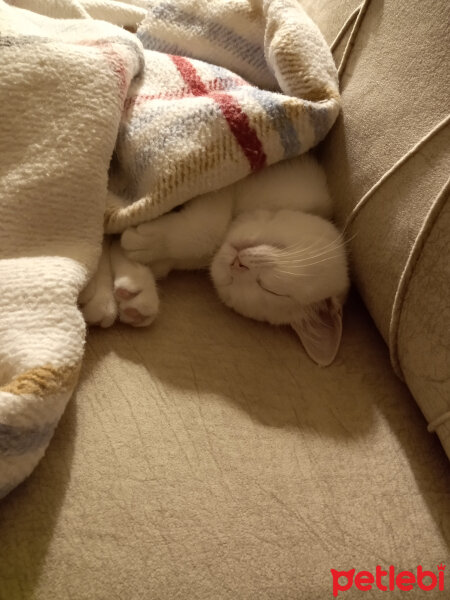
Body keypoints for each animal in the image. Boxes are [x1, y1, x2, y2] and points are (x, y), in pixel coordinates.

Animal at [80, 155, 348, 366]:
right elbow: (211, 226)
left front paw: (134, 286)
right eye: (274, 289)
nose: (237, 264)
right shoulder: (230, 182)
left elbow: (120, 248)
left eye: (264, 289)